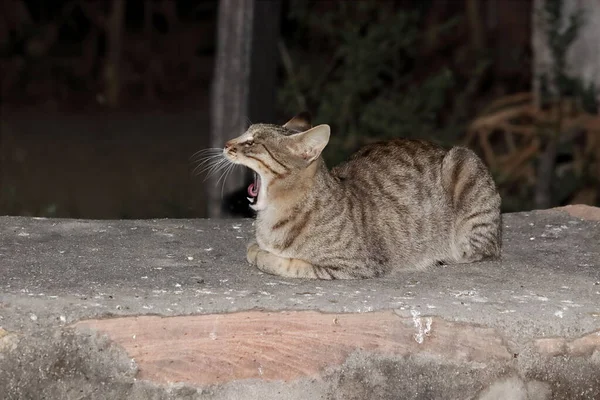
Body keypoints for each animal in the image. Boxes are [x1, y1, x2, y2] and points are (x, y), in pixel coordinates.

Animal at [221, 112, 502, 280]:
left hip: (464, 162)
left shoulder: (351, 265)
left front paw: (264, 255)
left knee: (479, 250)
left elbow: (280, 262)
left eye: (252, 143)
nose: (226, 144)